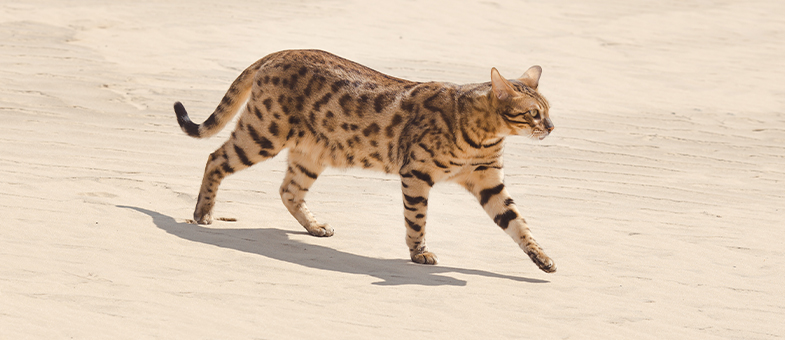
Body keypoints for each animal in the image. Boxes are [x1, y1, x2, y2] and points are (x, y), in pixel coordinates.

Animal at [174, 49, 556, 274]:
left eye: (548, 110)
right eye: (533, 114)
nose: (552, 127)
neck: (483, 136)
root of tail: (280, 51)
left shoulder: (489, 181)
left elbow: (518, 223)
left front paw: (542, 258)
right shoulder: (416, 174)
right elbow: (417, 220)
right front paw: (419, 254)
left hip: (311, 152)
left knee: (288, 190)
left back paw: (315, 226)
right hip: (263, 134)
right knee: (215, 158)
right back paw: (203, 213)